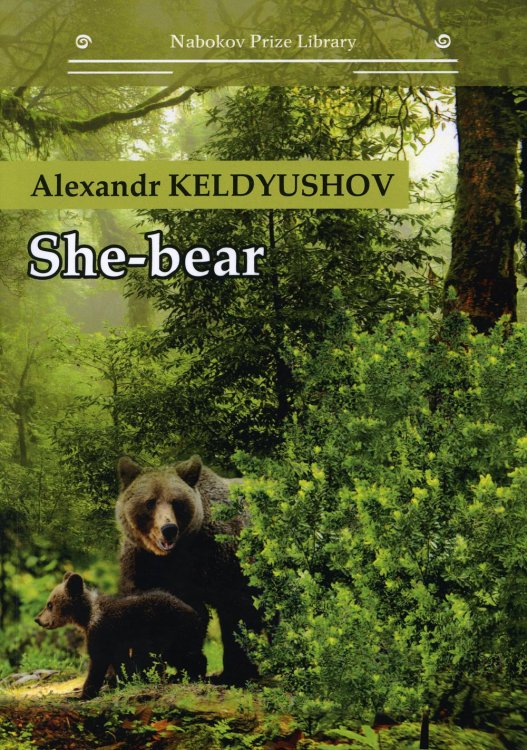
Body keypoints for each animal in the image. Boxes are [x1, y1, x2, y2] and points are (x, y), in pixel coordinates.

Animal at [35, 572, 207, 699]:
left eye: (49, 604)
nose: (38, 619)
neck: (87, 616)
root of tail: (196, 615)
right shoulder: (115, 639)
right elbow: (120, 661)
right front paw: (120, 681)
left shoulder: (101, 630)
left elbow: (98, 660)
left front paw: (83, 694)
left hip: (170, 630)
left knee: (183, 655)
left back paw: (193, 675)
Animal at [115, 454, 261, 686]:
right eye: (150, 502)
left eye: (176, 502)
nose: (168, 529)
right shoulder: (142, 562)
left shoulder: (219, 554)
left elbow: (236, 608)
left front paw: (234, 673)